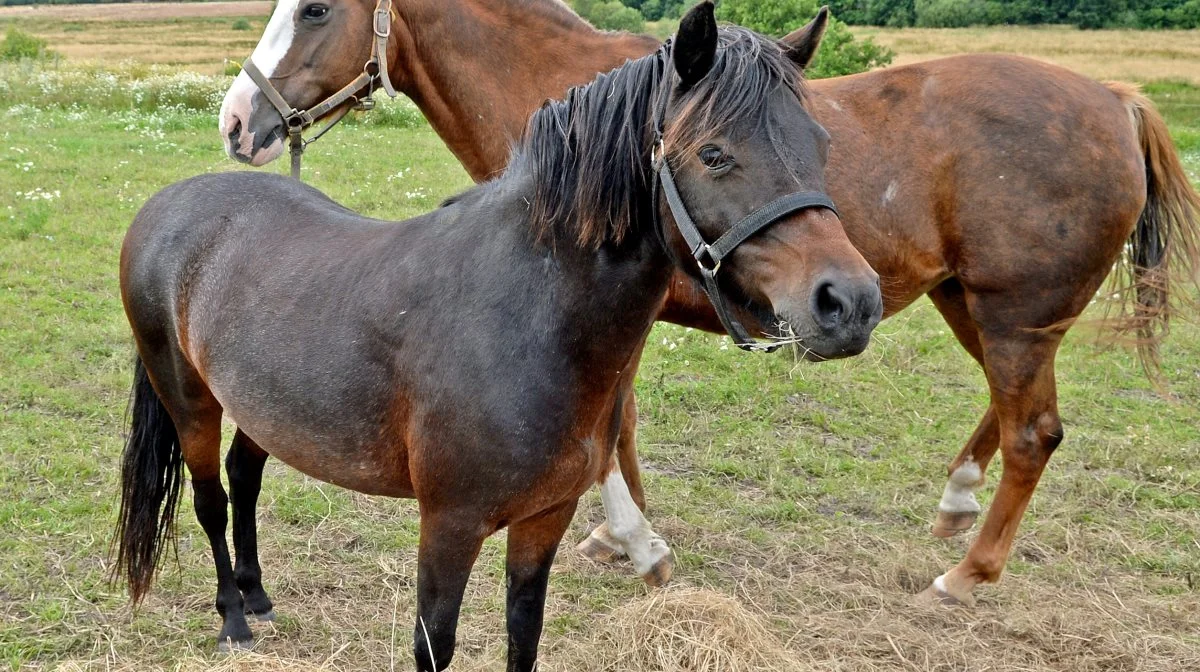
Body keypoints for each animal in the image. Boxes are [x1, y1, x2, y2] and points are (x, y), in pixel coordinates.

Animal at [114, 5, 883, 667]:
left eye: (822, 144)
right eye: (715, 154)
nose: (851, 303)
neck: (526, 314)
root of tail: (170, 202)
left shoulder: (544, 519)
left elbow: (524, 631)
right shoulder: (449, 527)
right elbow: (436, 643)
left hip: (263, 406)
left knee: (245, 479)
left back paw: (258, 596)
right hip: (189, 402)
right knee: (211, 499)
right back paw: (233, 619)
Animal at [218, 0, 1200, 607]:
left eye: (314, 10)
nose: (236, 123)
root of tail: (1116, 99)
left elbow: (612, 430)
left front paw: (639, 545)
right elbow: (620, 429)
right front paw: (621, 541)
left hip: (1010, 314)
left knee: (1034, 430)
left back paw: (968, 572)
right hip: (979, 308)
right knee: (1013, 413)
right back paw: (957, 502)